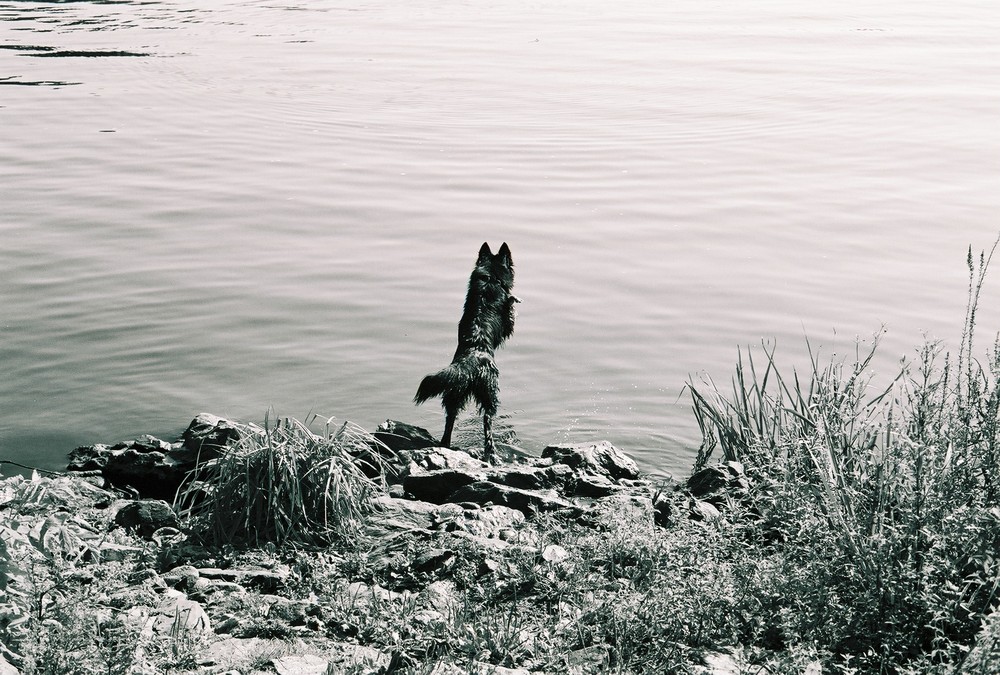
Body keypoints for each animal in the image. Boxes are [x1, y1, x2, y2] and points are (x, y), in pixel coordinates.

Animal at [416, 240, 524, 456]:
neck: (491, 277)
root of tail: (469, 363)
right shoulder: (507, 325)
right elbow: (510, 312)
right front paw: (514, 299)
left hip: (454, 394)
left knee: (449, 422)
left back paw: (446, 444)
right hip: (490, 393)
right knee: (488, 425)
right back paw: (491, 453)